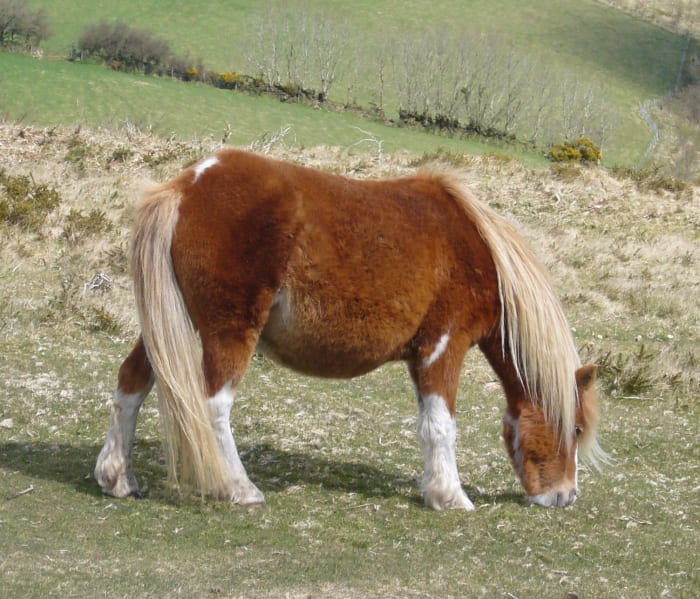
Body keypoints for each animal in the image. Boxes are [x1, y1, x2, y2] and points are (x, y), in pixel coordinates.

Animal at [95, 150, 604, 510]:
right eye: (576, 428)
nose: (565, 497)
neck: (476, 250)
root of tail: (185, 186)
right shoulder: (445, 346)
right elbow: (442, 425)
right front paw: (451, 497)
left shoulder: (421, 356)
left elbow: (427, 425)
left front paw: (433, 488)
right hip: (228, 333)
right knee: (212, 406)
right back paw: (238, 488)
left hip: (171, 326)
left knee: (131, 383)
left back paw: (117, 478)